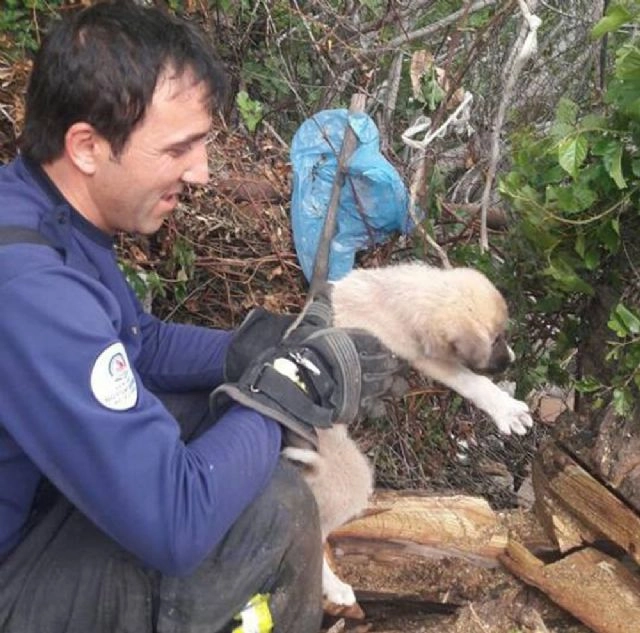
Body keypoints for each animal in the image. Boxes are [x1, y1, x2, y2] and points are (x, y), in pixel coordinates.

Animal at [283, 262, 533, 607]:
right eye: (495, 339)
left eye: (503, 335)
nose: (511, 360)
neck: (398, 295)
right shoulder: (428, 358)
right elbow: (473, 382)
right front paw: (507, 410)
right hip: (351, 479)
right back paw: (336, 588)